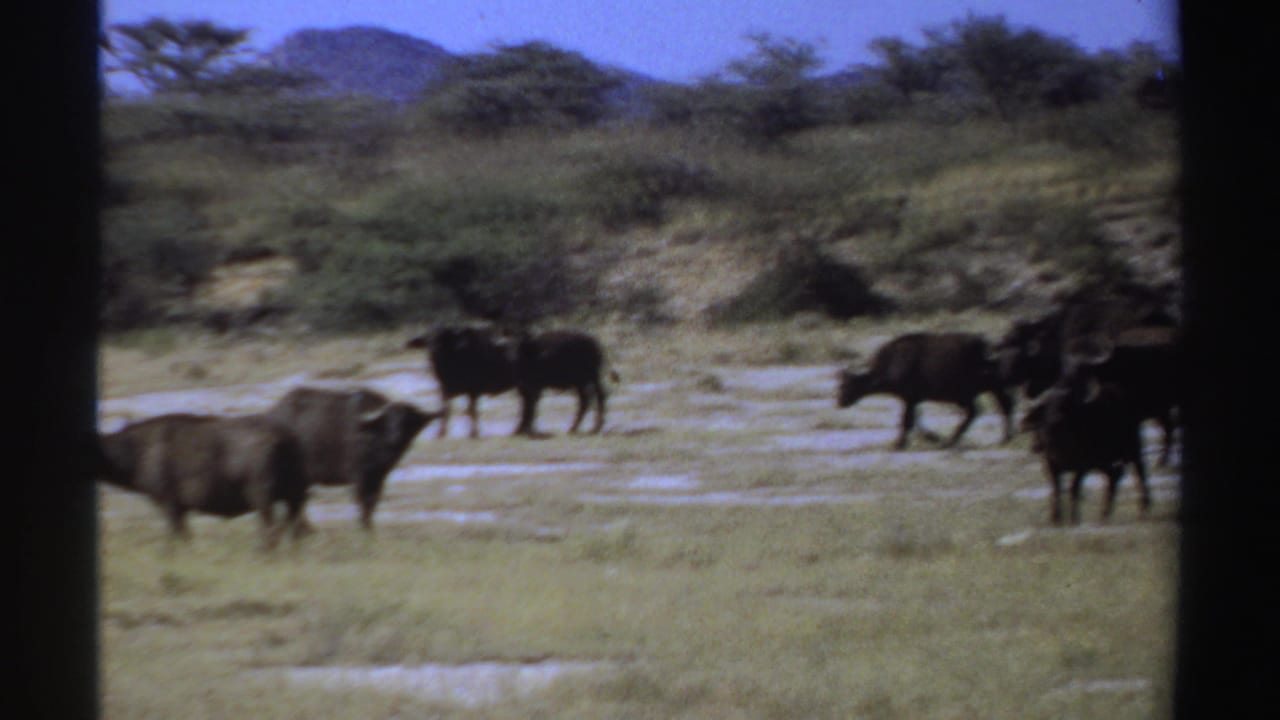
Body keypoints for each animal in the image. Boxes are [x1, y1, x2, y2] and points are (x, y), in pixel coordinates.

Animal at [95, 413, 308, 549]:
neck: (141, 449)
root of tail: (283, 437)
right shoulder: (179, 509)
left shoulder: (170, 505)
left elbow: (177, 535)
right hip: (293, 497)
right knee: (293, 528)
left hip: (262, 498)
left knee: (271, 530)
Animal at [266, 387, 438, 530]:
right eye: (388, 420)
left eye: (409, 420)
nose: (395, 437)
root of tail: (274, 413)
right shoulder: (359, 477)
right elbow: (363, 503)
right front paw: (364, 528)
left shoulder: (378, 477)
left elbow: (372, 503)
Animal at [837, 332, 1014, 450]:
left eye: (845, 385)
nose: (840, 402)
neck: (890, 364)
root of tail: (986, 347)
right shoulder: (912, 400)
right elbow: (914, 421)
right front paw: (931, 437)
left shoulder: (909, 399)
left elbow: (907, 421)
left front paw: (899, 444)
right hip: (982, 390)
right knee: (1000, 405)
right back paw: (1003, 438)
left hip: (968, 393)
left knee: (981, 410)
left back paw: (951, 441)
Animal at [1020, 380, 1152, 525]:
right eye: (1046, 406)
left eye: (1064, 405)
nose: (1056, 419)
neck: (1061, 446)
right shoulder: (1051, 467)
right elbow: (1056, 491)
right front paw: (1055, 519)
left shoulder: (1082, 467)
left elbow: (1073, 490)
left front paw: (1074, 518)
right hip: (1102, 461)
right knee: (1114, 476)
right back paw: (1104, 514)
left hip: (1132, 449)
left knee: (1140, 472)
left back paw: (1143, 507)